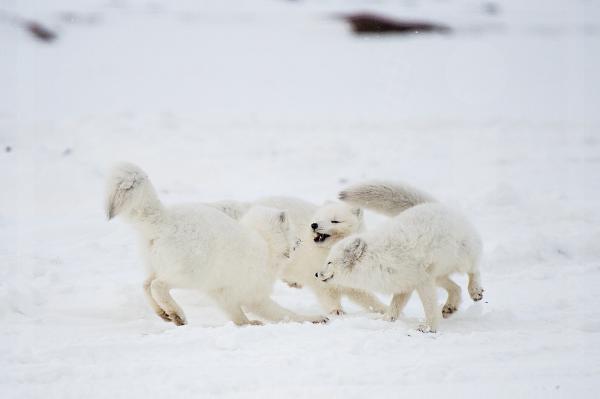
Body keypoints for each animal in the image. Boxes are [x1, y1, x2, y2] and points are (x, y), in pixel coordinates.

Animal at [105, 163, 326, 328]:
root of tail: (164, 218)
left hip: (158, 266)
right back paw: (177, 314)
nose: (299, 242)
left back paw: (164, 314)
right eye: (292, 233)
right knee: (157, 285)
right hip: (191, 274)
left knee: (145, 285)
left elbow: (235, 313)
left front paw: (248, 324)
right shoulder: (254, 294)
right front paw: (314, 318)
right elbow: (281, 312)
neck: (264, 242)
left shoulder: (222, 291)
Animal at [316, 183, 486, 332]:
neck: (378, 258)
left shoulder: (422, 282)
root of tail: (432, 204)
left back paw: (475, 290)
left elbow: (429, 306)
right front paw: (385, 321)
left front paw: (428, 328)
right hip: (438, 276)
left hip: (462, 260)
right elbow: (395, 307)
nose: (316, 274)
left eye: (329, 262)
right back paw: (450, 307)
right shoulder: (404, 285)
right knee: (456, 288)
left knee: (474, 270)